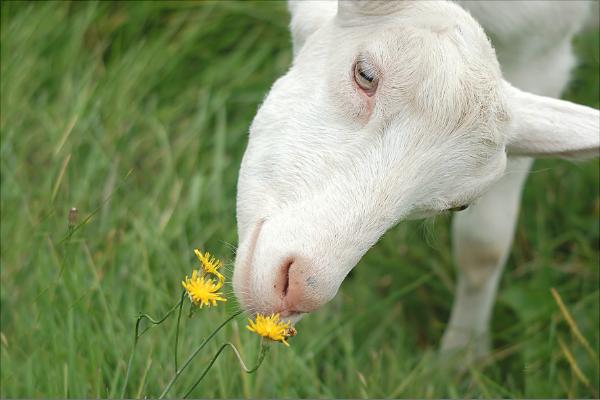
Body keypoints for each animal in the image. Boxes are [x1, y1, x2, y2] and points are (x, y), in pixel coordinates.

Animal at [231, 0, 600, 356]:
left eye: (459, 206)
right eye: (365, 74)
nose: (300, 291)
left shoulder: (541, 50)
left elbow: (484, 248)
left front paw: (462, 356)